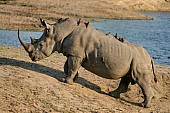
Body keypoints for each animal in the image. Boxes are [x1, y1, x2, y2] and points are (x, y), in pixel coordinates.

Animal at [17, 17, 157, 107]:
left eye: (40, 45)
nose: (32, 57)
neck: (59, 33)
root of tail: (150, 57)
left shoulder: (75, 54)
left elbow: (71, 66)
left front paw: (65, 81)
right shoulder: (73, 54)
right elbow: (68, 66)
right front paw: (73, 79)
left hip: (139, 60)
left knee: (139, 78)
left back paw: (144, 105)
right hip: (134, 59)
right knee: (127, 77)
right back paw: (112, 95)